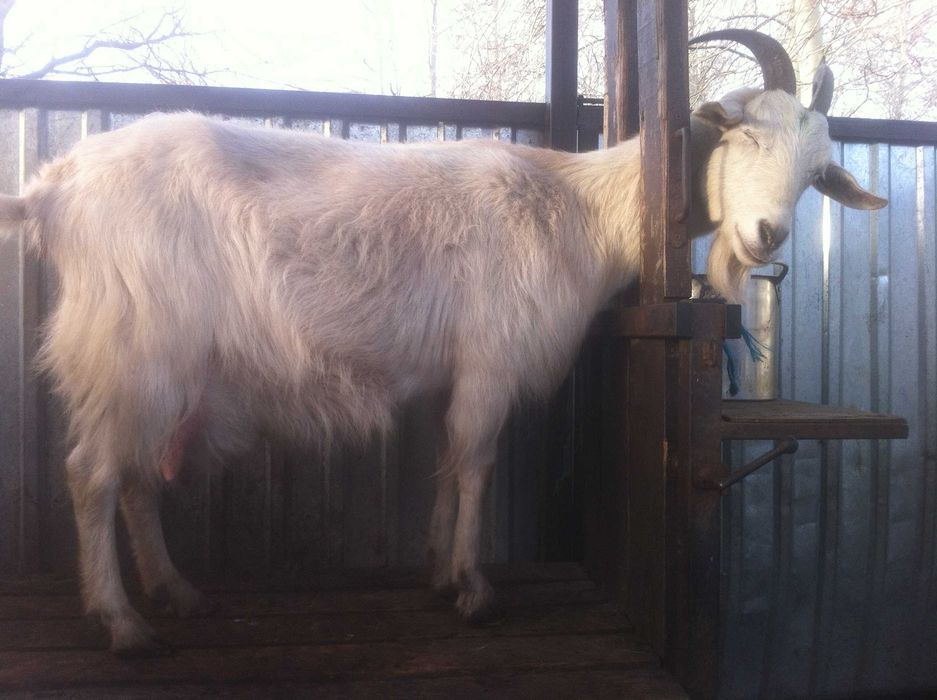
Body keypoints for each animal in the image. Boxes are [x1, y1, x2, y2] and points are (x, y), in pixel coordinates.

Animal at [0, 30, 885, 655]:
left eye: (817, 173)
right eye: (743, 136)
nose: (766, 234)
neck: (577, 207)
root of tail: (54, 189)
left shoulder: (449, 374)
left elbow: (444, 463)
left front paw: (435, 570)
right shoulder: (490, 361)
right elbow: (476, 464)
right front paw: (473, 590)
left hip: (159, 371)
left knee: (136, 479)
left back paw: (174, 592)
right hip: (133, 351)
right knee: (91, 475)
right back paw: (124, 625)